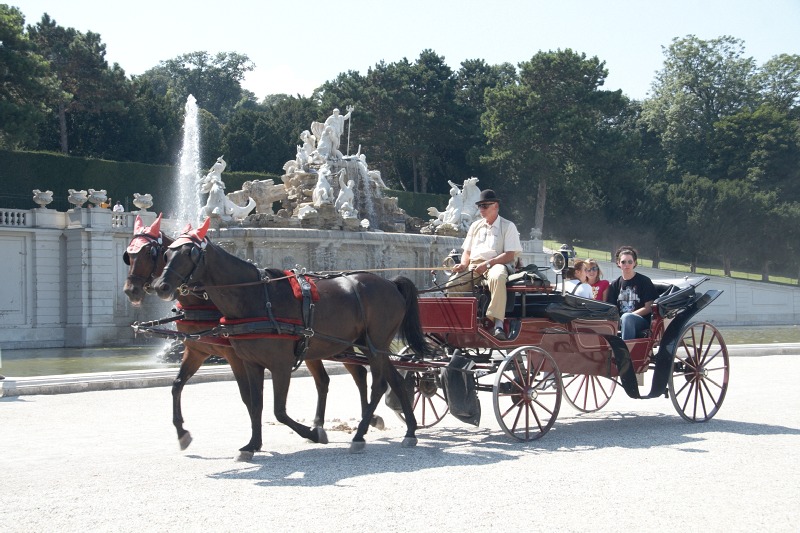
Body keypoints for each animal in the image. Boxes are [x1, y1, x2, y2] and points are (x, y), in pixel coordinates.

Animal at [149, 216, 424, 458]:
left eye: (190, 254)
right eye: (166, 255)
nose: (161, 286)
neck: (256, 298)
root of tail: (390, 283)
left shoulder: (279, 365)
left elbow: (278, 411)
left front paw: (313, 433)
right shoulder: (249, 362)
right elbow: (255, 404)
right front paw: (253, 444)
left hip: (374, 345)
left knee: (378, 385)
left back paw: (359, 434)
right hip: (367, 346)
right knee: (394, 381)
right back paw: (410, 430)